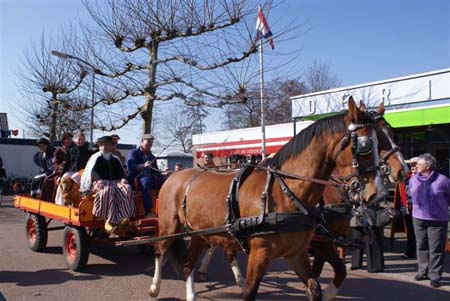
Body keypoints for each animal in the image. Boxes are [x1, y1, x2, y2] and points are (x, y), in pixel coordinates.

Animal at [150, 97, 384, 298]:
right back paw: (155, 287)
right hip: (170, 228)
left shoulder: (297, 253)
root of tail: (174, 176)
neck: (284, 193)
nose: (378, 192)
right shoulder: (260, 253)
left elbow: (315, 287)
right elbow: (249, 292)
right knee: (160, 250)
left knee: (189, 263)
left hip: (200, 233)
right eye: (365, 145)